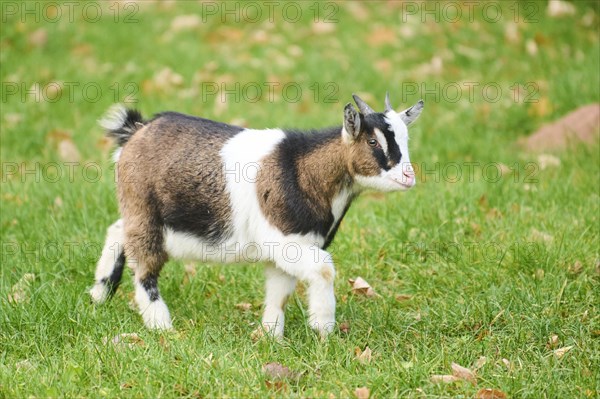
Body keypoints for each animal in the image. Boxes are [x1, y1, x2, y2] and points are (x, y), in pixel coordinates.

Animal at [91, 94, 424, 338]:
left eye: (406, 140)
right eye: (373, 141)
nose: (408, 177)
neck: (303, 170)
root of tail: (136, 130)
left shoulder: (288, 248)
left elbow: (280, 292)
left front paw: (270, 336)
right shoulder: (286, 241)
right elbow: (324, 270)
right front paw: (323, 329)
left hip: (139, 212)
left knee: (118, 230)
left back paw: (99, 293)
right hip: (144, 211)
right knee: (144, 265)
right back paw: (161, 324)